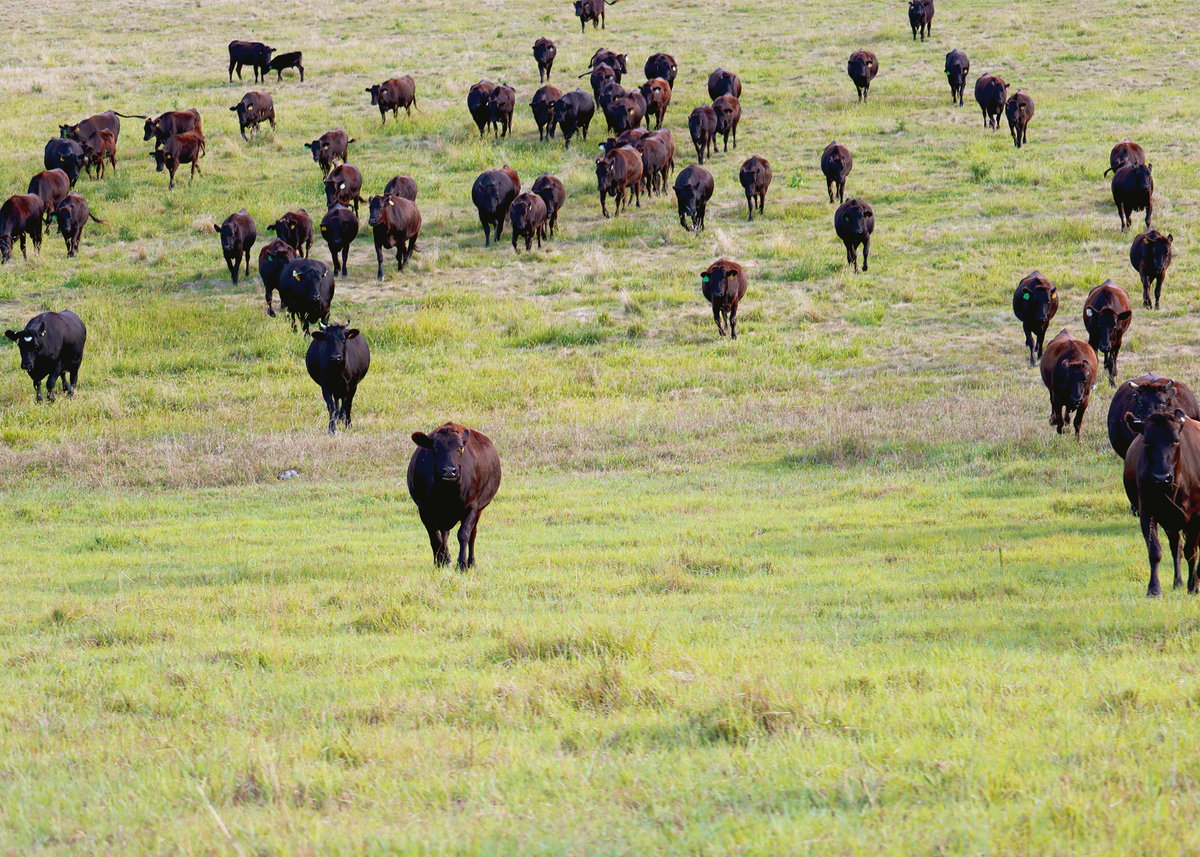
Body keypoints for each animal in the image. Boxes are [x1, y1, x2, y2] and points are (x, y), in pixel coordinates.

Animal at [407, 422, 502, 569]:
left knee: (472, 534)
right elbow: (436, 539)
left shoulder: (472, 507)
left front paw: (462, 564)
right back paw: (446, 560)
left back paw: (471, 562)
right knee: (444, 534)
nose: (449, 471)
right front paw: (439, 563)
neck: (447, 493)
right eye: (435, 448)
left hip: (479, 509)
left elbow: (464, 535)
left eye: (460, 448)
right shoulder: (424, 510)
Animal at [1123, 409, 1200, 596]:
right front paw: (1153, 589)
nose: (1161, 477)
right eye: (1146, 442)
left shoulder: (1196, 515)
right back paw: (1177, 582)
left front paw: (1193, 586)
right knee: (1176, 547)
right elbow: (1155, 551)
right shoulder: (1147, 511)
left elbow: (1191, 551)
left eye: (1176, 440)